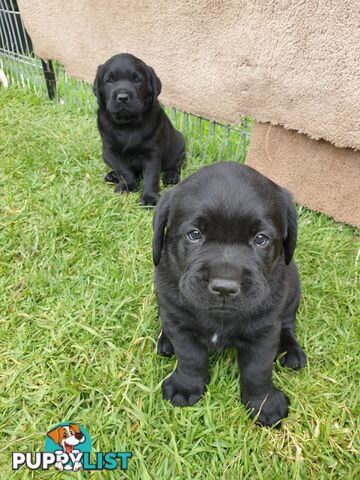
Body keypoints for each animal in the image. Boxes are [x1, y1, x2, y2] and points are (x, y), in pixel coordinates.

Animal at [93, 53, 186, 206]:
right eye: (109, 80)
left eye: (137, 80)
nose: (123, 97)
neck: (127, 124)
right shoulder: (110, 151)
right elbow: (124, 170)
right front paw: (128, 186)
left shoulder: (152, 152)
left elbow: (151, 176)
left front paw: (149, 197)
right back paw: (112, 175)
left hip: (179, 144)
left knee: (176, 164)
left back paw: (171, 176)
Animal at [152, 162, 306, 428]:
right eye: (194, 234)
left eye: (261, 239)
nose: (224, 287)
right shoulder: (178, 321)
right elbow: (190, 357)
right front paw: (186, 386)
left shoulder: (265, 330)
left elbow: (258, 369)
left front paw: (264, 404)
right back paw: (165, 341)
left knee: (287, 324)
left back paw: (291, 350)